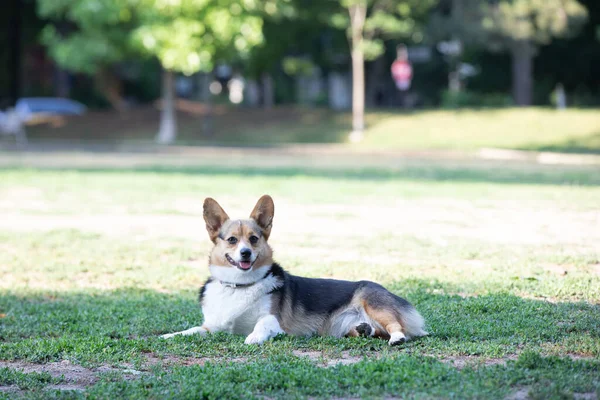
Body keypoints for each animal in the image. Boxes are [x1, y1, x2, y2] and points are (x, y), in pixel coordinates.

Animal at [162, 195, 426, 346]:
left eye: (254, 239)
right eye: (232, 240)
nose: (245, 253)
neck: (240, 285)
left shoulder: (273, 320)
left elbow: (261, 325)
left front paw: (253, 337)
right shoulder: (212, 327)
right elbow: (191, 330)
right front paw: (169, 335)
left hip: (374, 304)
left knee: (397, 327)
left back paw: (396, 338)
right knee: (373, 331)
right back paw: (363, 330)